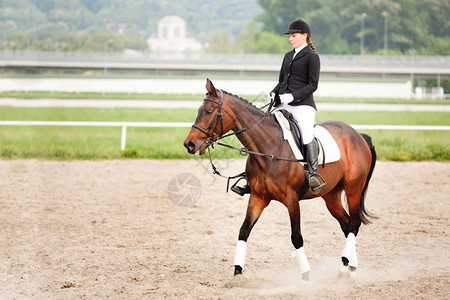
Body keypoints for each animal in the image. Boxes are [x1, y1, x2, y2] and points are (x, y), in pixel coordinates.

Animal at [183, 79, 376, 282]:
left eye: (208, 111)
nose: (189, 144)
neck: (269, 148)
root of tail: (359, 135)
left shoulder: (291, 199)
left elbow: (296, 237)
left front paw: (306, 275)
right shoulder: (258, 197)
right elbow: (244, 230)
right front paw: (238, 272)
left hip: (353, 188)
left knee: (354, 224)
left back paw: (346, 266)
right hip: (330, 195)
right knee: (346, 225)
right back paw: (349, 265)